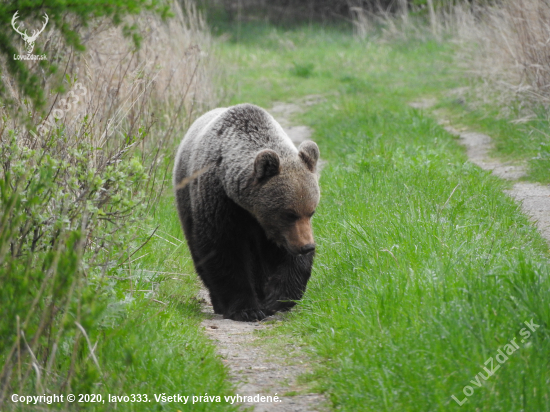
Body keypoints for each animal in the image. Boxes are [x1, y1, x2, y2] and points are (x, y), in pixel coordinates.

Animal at [172, 103, 320, 322]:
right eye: (288, 213)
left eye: (311, 211)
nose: (307, 246)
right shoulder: (220, 204)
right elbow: (224, 251)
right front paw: (246, 309)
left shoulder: (276, 231)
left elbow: (288, 260)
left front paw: (276, 299)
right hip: (187, 203)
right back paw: (220, 303)